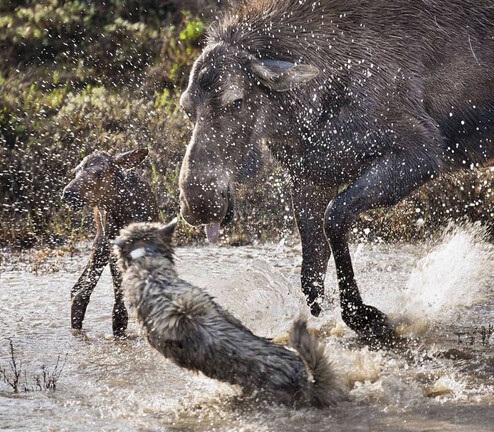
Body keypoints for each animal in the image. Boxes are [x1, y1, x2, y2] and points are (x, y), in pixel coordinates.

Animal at [61, 149, 158, 338]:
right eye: (76, 170)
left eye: (99, 172)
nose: (68, 193)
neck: (125, 212)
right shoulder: (112, 246)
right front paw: (119, 325)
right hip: (101, 240)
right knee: (80, 291)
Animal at [178, 0, 494, 340]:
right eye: (186, 108)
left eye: (236, 101)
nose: (198, 204)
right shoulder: (312, 176)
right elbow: (310, 269)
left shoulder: (419, 152)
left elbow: (335, 217)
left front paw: (363, 316)